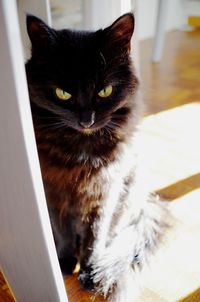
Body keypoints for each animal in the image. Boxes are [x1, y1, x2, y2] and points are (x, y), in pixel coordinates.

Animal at [25, 13, 169, 300]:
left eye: (104, 91)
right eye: (63, 93)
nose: (86, 120)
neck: (80, 149)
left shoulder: (105, 195)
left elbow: (95, 238)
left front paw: (90, 270)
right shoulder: (53, 193)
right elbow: (63, 231)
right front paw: (65, 262)